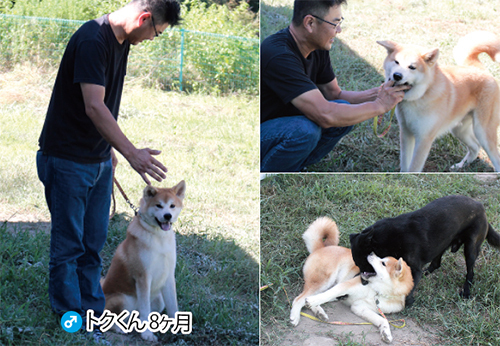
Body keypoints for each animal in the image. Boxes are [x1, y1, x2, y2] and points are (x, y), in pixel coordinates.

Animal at [101, 181, 186, 340]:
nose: (167, 216)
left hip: (158, 300)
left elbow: (173, 306)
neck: (159, 237)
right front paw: (147, 334)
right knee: (109, 320)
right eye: (158, 205)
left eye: (172, 206)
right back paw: (120, 329)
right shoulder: (143, 277)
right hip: (123, 299)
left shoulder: (169, 276)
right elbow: (145, 309)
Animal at [290, 216, 414, 344]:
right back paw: (296, 316)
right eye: (381, 259)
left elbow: (383, 320)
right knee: (299, 299)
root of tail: (321, 247)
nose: (371, 253)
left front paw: (386, 333)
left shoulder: (359, 307)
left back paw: (319, 312)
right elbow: (327, 295)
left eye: (383, 263)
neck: (377, 291)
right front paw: (312, 301)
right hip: (324, 281)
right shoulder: (346, 286)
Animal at [350, 195, 500, 306]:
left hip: (470, 248)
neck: (386, 239)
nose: (363, 283)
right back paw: (428, 272)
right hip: (443, 243)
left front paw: (408, 302)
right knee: (436, 263)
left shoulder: (414, 270)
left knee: (470, 272)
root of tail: (482, 209)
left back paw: (466, 292)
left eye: (362, 262)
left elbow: (408, 291)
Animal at [376, 31, 500, 172]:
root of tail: (478, 68)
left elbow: (414, 167)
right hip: (459, 130)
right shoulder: (406, 133)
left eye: (412, 67)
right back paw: (460, 166)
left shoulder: (424, 139)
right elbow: (405, 164)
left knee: (494, 156)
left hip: (483, 132)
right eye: (396, 62)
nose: (397, 76)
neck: (421, 95)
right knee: (475, 146)